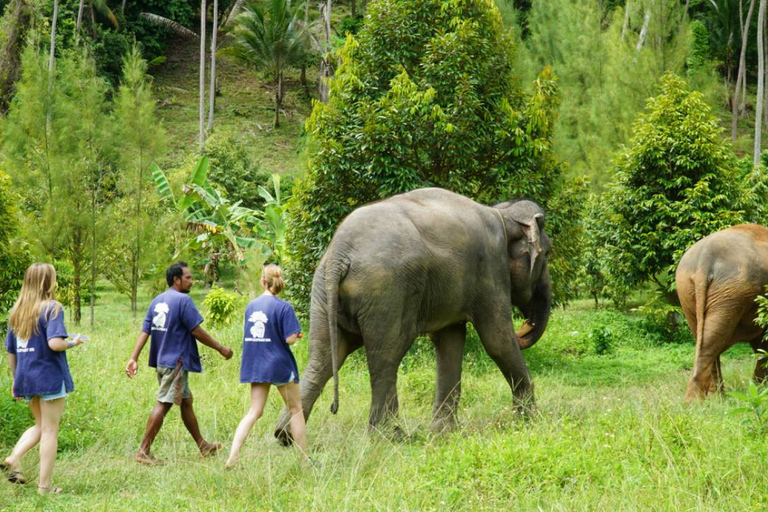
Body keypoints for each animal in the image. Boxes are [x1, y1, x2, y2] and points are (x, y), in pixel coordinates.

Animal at [275, 187, 551, 442]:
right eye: (547, 254)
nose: (524, 327)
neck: (502, 213)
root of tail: (339, 255)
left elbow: (449, 340)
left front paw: (442, 432)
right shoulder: (491, 267)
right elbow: (497, 340)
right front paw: (530, 422)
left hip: (323, 292)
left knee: (324, 356)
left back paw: (285, 436)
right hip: (386, 290)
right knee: (387, 356)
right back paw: (392, 437)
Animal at [676, 224, 768, 401]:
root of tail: (704, 258)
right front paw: (759, 390)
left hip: (687, 290)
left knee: (706, 338)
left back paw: (714, 398)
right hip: (732, 290)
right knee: (713, 341)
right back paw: (694, 402)